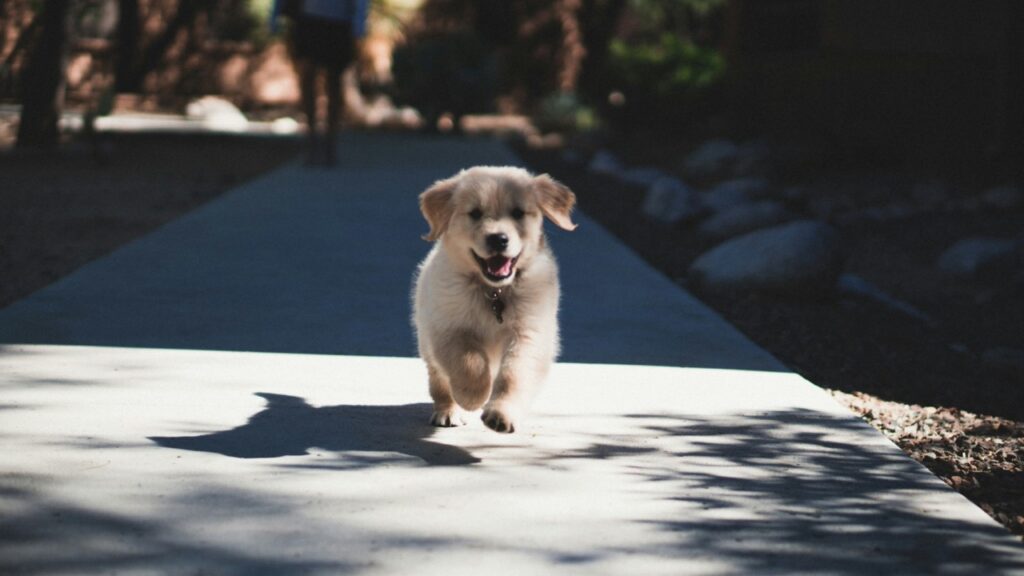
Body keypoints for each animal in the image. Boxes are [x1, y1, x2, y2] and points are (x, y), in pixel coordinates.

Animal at [413, 166, 577, 430]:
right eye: (475, 214)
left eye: (518, 213)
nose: (498, 239)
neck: (494, 291)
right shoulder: (448, 328)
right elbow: (469, 362)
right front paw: (473, 396)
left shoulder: (529, 332)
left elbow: (514, 374)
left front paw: (501, 413)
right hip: (426, 341)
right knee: (439, 381)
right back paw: (448, 411)